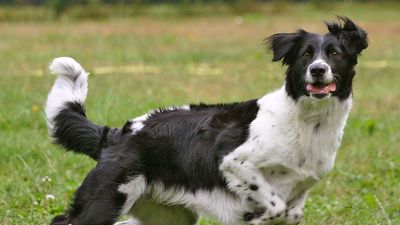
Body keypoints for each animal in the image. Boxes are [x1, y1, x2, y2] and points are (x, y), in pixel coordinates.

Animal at [45, 16, 368, 225]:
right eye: (305, 54)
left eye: (334, 53)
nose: (317, 70)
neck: (306, 122)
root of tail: (120, 133)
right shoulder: (234, 162)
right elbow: (273, 205)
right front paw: (260, 215)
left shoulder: (301, 190)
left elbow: (291, 212)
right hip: (106, 201)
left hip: (170, 216)